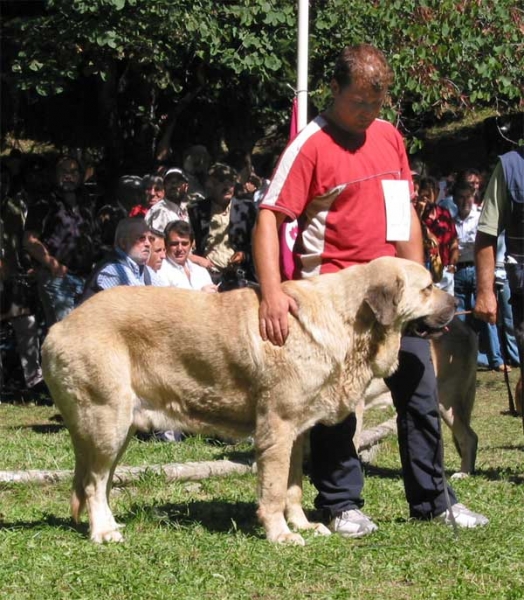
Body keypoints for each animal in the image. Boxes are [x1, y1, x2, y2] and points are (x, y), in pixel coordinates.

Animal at [43, 255, 454, 548]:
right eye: (428, 288)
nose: (455, 303)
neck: (351, 322)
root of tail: (58, 326)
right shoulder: (276, 429)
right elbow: (272, 490)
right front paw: (281, 534)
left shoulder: (296, 433)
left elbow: (292, 486)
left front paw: (303, 524)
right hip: (107, 423)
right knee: (94, 483)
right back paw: (103, 532)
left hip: (118, 428)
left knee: (100, 481)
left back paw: (110, 523)